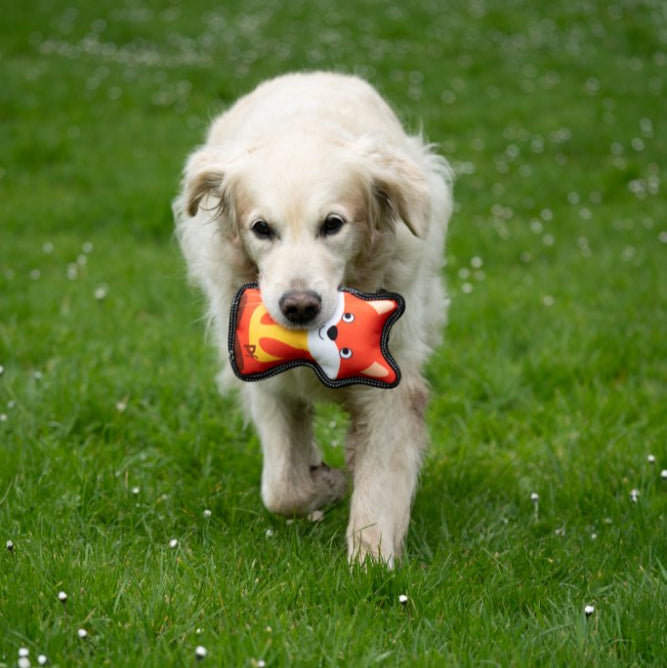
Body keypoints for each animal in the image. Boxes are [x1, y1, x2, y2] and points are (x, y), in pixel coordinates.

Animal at [174, 71, 453, 567]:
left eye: (333, 224)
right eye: (261, 228)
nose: (299, 306)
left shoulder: (392, 382)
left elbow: (381, 479)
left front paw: (372, 561)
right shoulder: (266, 380)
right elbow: (282, 489)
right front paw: (326, 482)